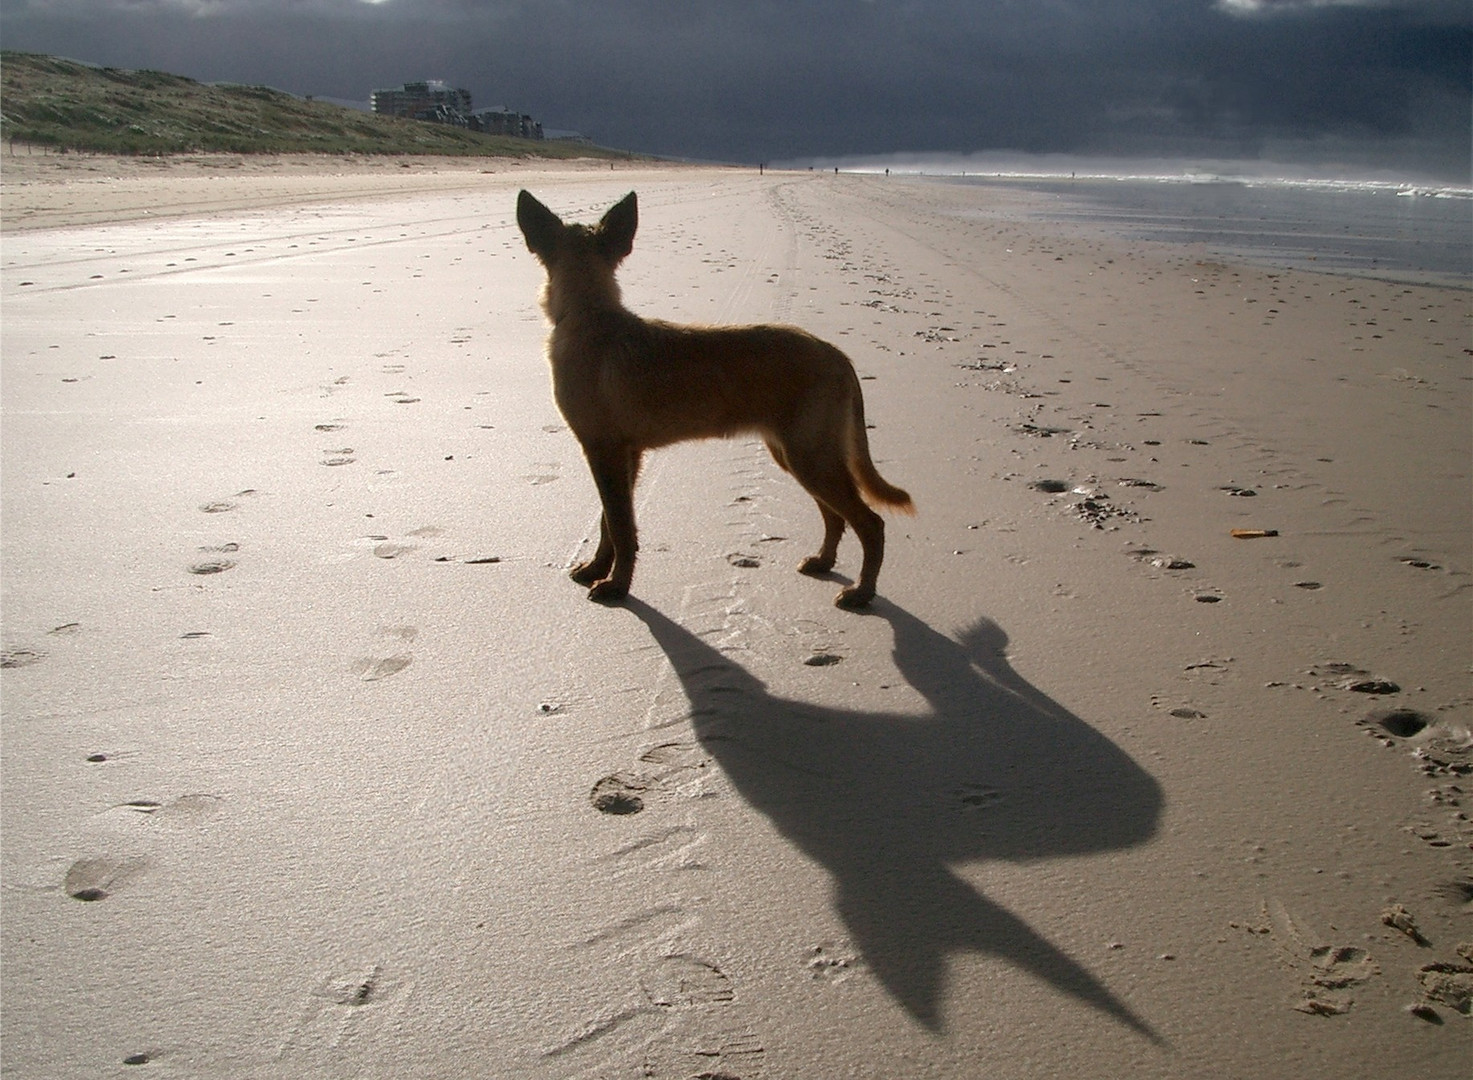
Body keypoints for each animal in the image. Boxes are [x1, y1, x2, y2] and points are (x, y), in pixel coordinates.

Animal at [515, 191, 907, 607]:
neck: (591, 316)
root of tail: (838, 356)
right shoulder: (624, 454)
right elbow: (610, 522)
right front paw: (597, 569)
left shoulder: (603, 450)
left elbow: (620, 527)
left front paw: (617, 585)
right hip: (797, 455)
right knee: (835, 516)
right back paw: (822, 561)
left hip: (811, 457)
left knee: (870, 522)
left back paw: (862, 592)